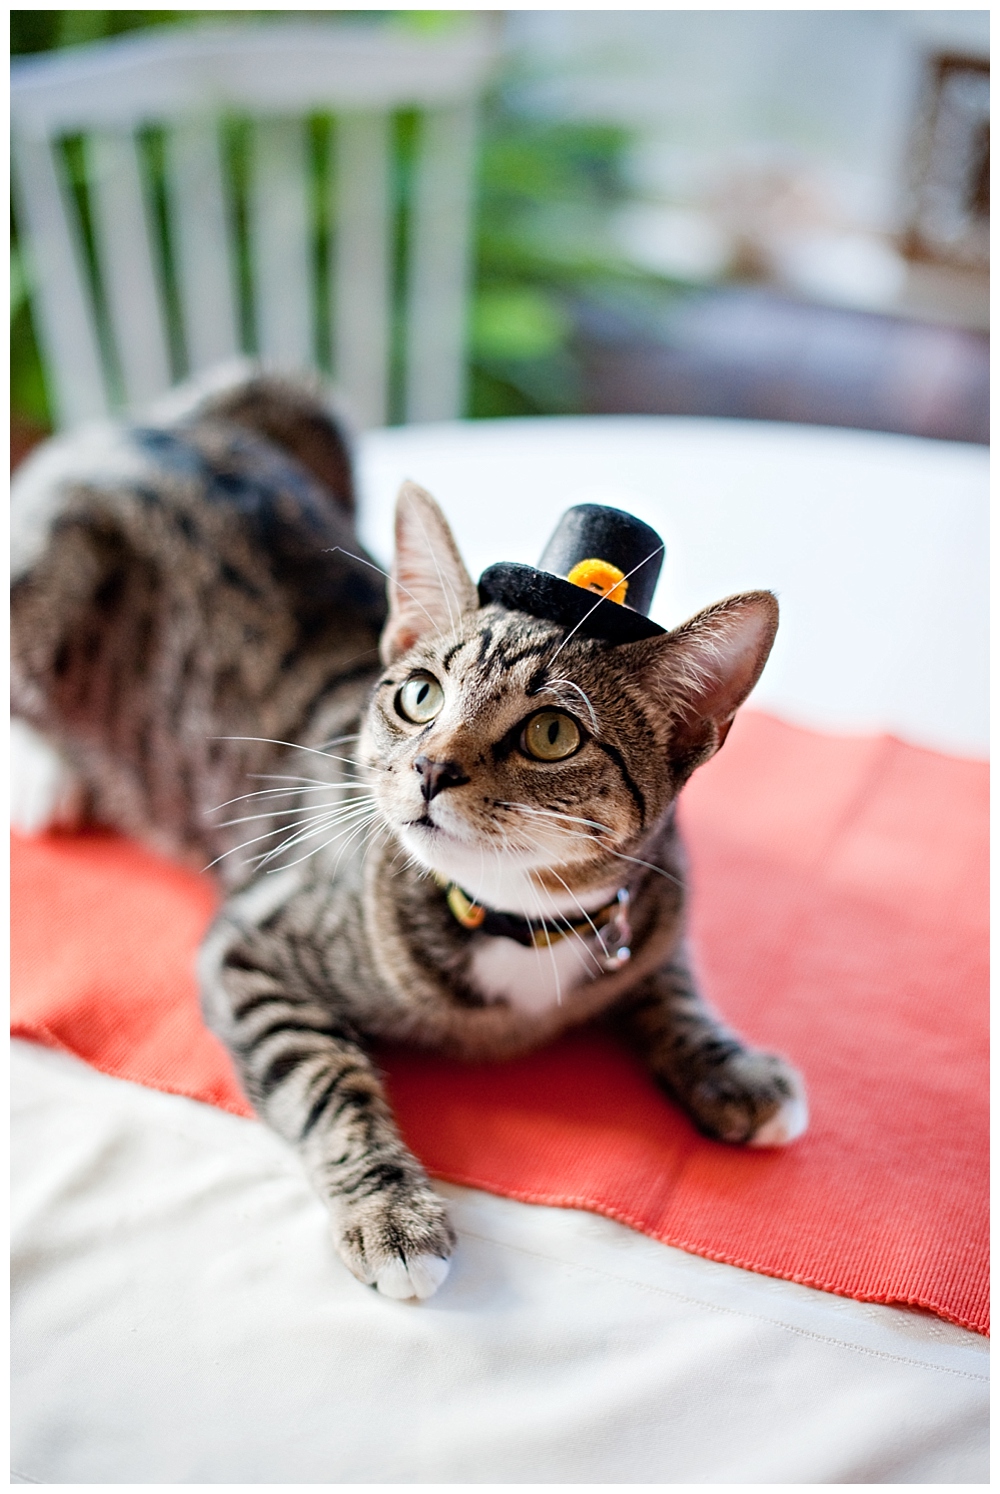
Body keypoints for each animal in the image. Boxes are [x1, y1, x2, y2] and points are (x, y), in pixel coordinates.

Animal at [11, 367, 807, 1302]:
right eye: (419, 696)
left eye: (552, 734)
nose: (430, 768)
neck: (514, 921)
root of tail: (140, 426)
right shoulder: (251, 943)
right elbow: (324, 1076)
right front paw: (391, 1209)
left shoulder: (653, 896)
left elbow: (668, 976)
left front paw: (730, 1062)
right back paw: (48, 775)